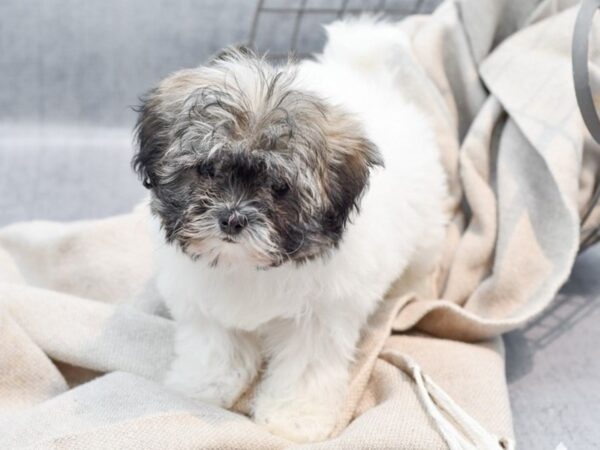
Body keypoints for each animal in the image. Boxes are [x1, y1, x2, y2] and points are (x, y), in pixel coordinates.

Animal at [134, 20, 448, 442]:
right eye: (208, 169)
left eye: (280, 187)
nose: (232, 218)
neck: (246, 267)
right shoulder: (205, 305)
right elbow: (215, 346)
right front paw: (203, 387)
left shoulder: (319, 319)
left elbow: (305, 368)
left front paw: (295, 417)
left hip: (426, 227)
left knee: (421, 261)